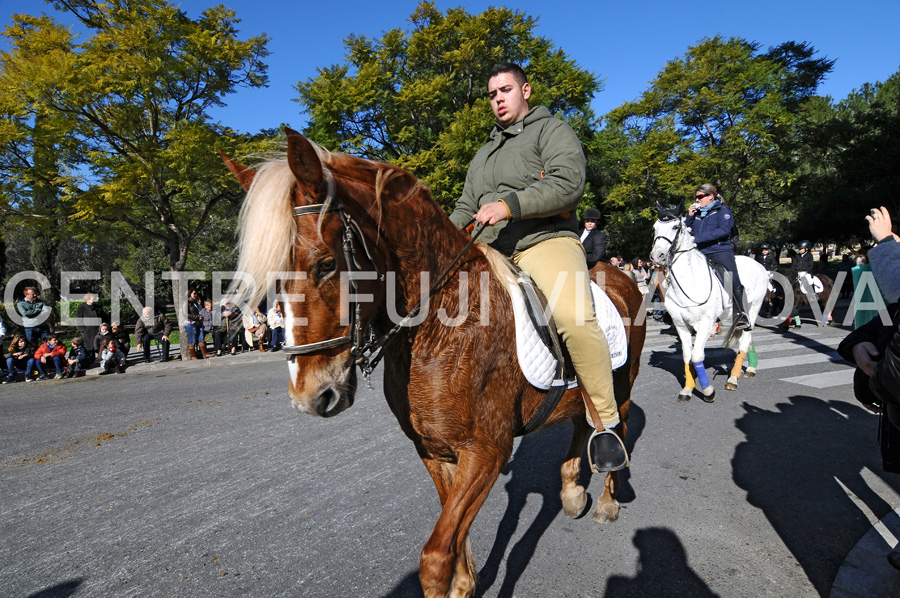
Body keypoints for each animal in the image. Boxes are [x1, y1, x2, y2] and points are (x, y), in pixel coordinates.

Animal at [225, 131, 648, 598]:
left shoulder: (486, 452)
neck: (442, 322)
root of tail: (622, 275)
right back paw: (572, 489)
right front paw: (466, 583)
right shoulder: (432, 449)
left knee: (615, 421)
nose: (311, 397)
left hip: (624, 383)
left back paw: (607, 497)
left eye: (326, 264)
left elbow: (435, 558)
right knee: (580, 418)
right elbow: (453, 539)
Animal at [652, 216, 768, 404]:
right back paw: (750, 368)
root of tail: (758, 264)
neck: (689, 281)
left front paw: (708, 391)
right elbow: (687, 356)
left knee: (744, 340)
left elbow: (697, 356)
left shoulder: (705, 324)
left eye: (675, 227)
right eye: (655, 228)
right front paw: (687, 389)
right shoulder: (681, 325)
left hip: (753, 309)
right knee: (747, 337)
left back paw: (733, 379)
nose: (657, 256)